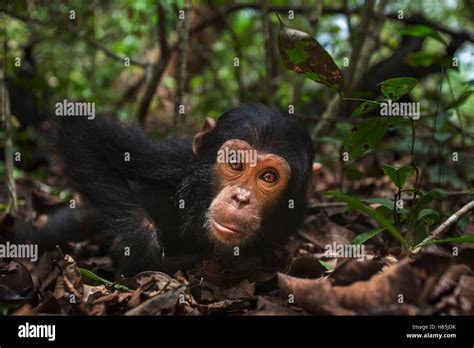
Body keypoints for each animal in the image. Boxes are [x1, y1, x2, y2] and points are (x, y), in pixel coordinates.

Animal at [17, 102, 318, 274]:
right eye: (235, 163)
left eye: (268, 177)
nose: (241, 198)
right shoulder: (170, 159)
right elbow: (85, 135)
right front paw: (142, 243)